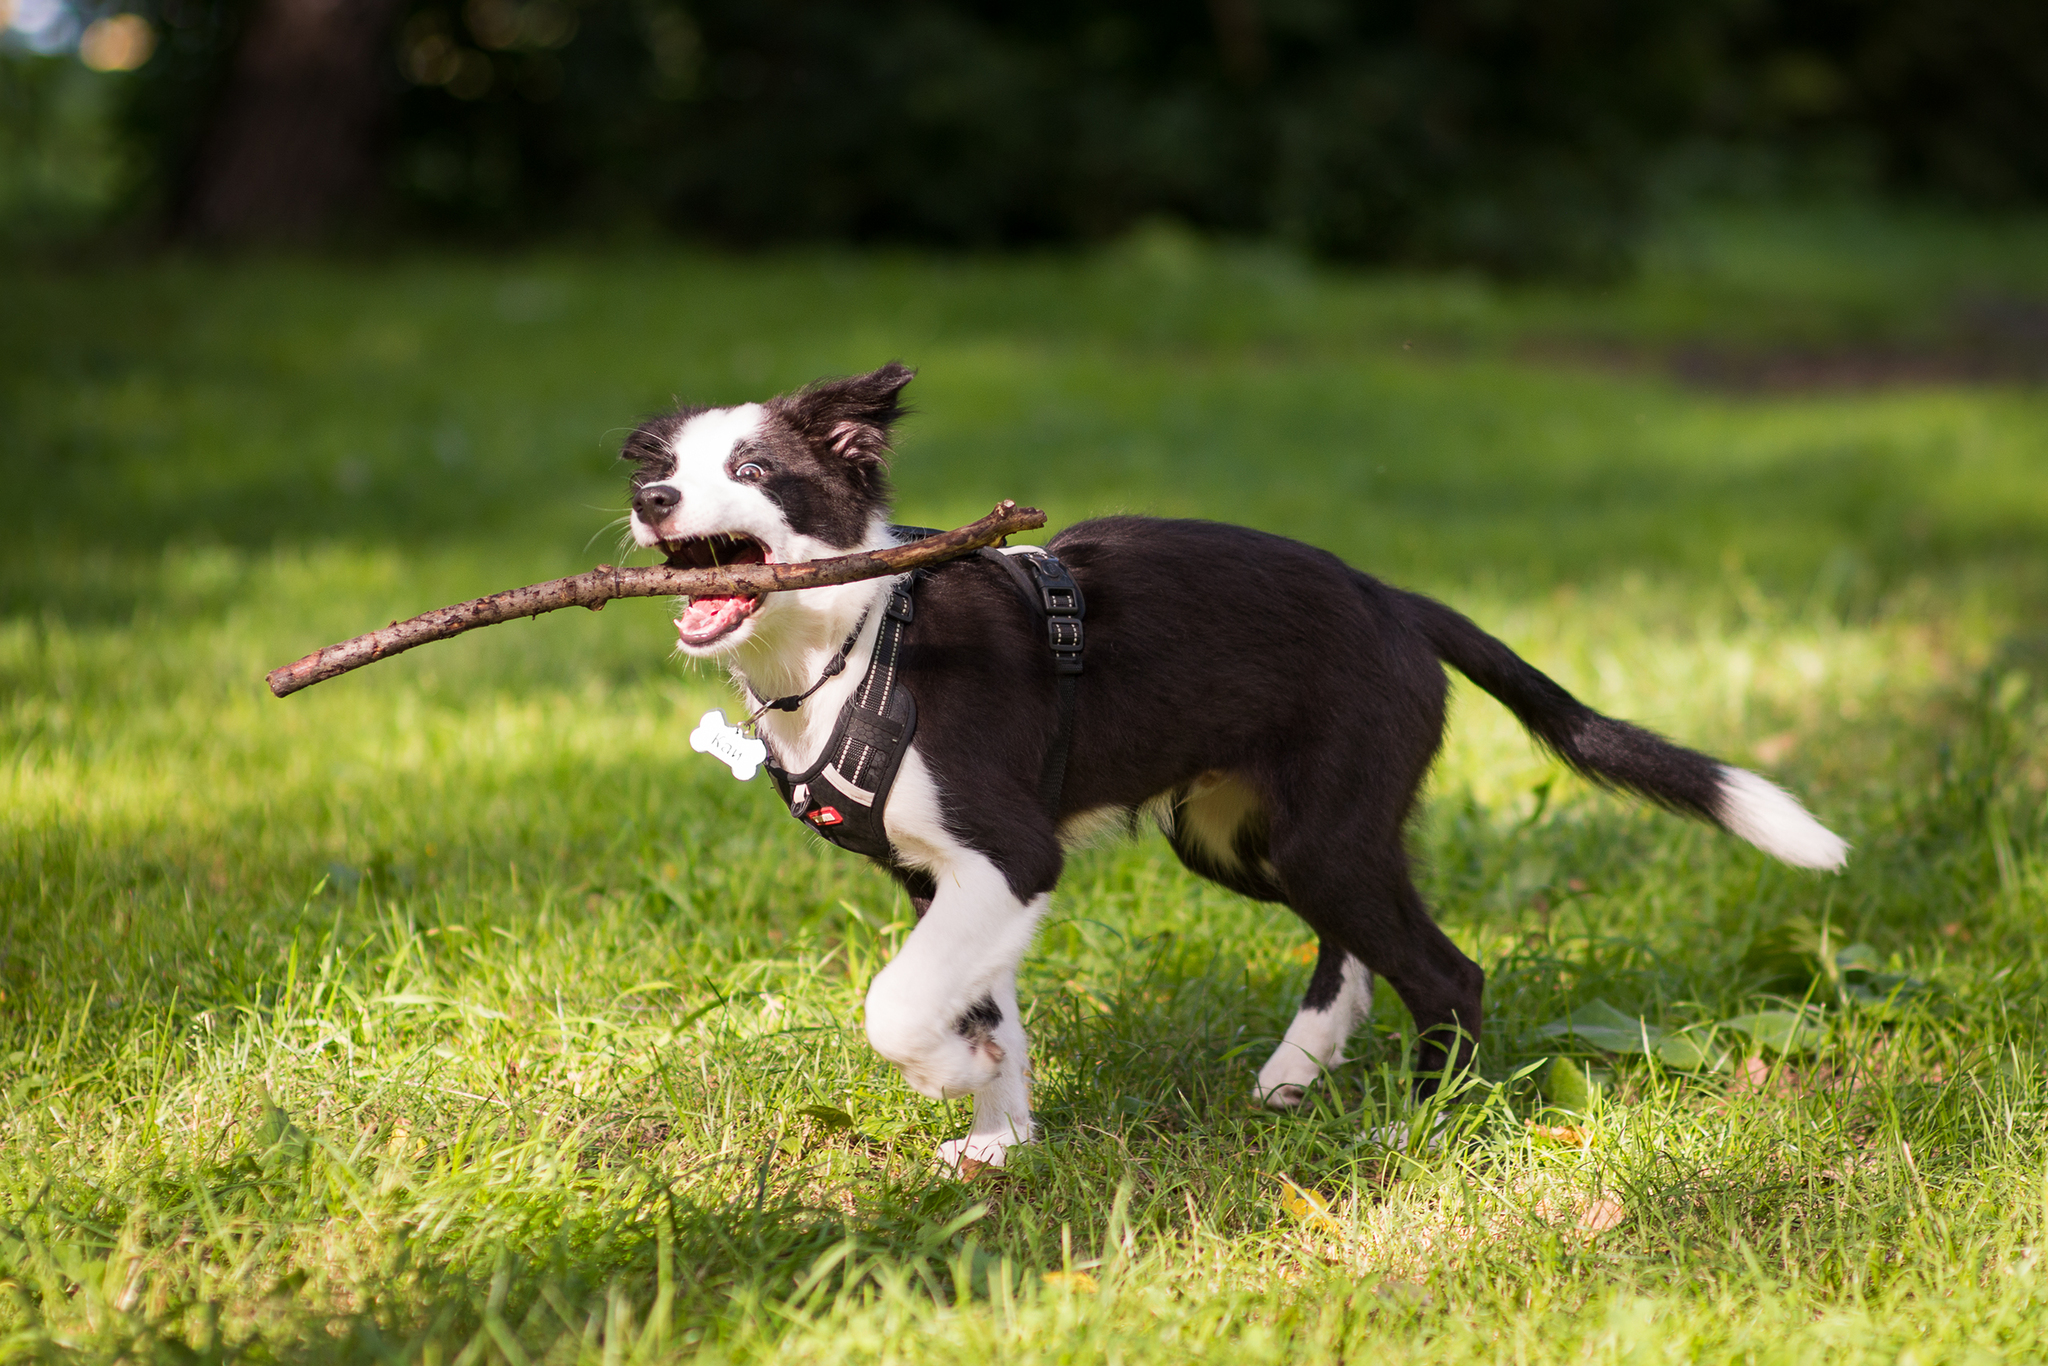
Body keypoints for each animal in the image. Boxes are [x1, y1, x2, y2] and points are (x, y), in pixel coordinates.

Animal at [614, 362, 1851, 1179]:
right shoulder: (941, 880)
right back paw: (1299, 1066)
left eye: (753, 468)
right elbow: (979, 999)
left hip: (1319, 828)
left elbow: (895, 1002)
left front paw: (946, 1082)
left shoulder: (1008, 855)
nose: (649, 502)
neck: (852, 637)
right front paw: (999, 1132)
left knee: (1445, 970)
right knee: (1356, 948)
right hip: (1239, 836)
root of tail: (1394, 599)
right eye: (665, 467)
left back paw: (1422, 1122)